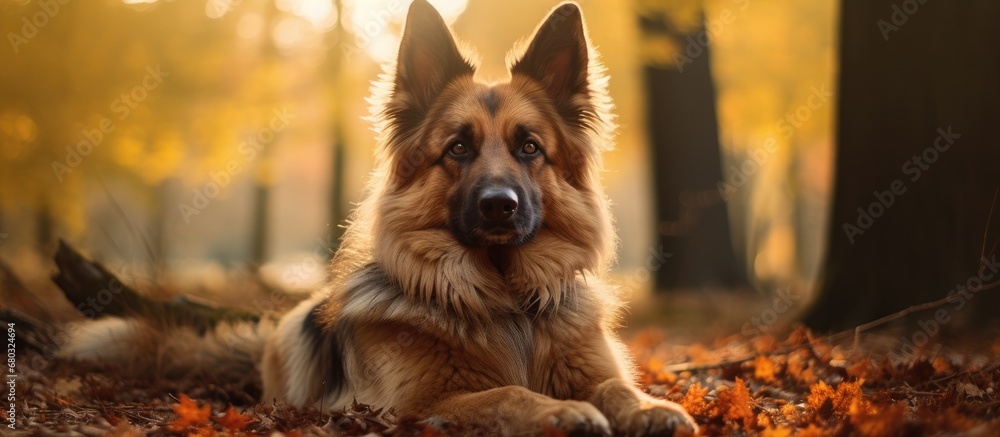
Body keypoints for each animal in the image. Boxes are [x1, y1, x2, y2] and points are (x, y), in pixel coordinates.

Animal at [258, 1, 696, 434]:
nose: (499, 205)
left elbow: (616, 387)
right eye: (458, 147)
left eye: (530, 147)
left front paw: (650, 408)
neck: (509, 301)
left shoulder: (595, 371)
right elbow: (507, 394)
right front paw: (563, 411)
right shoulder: (420, 405)